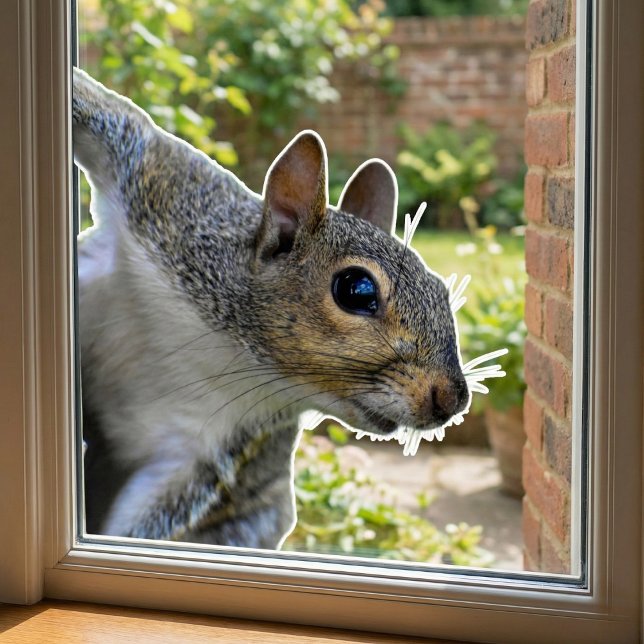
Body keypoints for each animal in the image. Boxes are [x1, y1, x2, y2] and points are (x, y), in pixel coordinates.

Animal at [73, 68, 470, 549]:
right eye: (356, 290)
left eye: (442, 292)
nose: (453, 398)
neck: (233, 351)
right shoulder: (164, 189)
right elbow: (107, 114)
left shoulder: (202, 452)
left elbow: (154, 516)